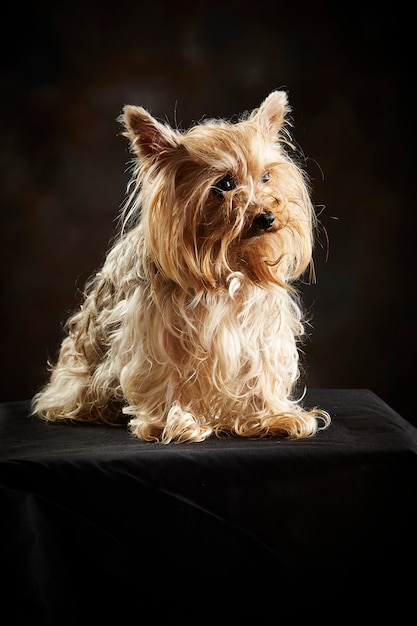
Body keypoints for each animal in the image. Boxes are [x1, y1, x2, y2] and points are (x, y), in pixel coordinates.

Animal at [32, 90, 330, 442]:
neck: (222, 261)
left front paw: (272, 416)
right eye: (225, 184)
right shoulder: (157, 333)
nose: (268, 218)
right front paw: (170, 423)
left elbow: (260, 371)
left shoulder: (259, 333)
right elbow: (164, 375)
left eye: (267, 177)